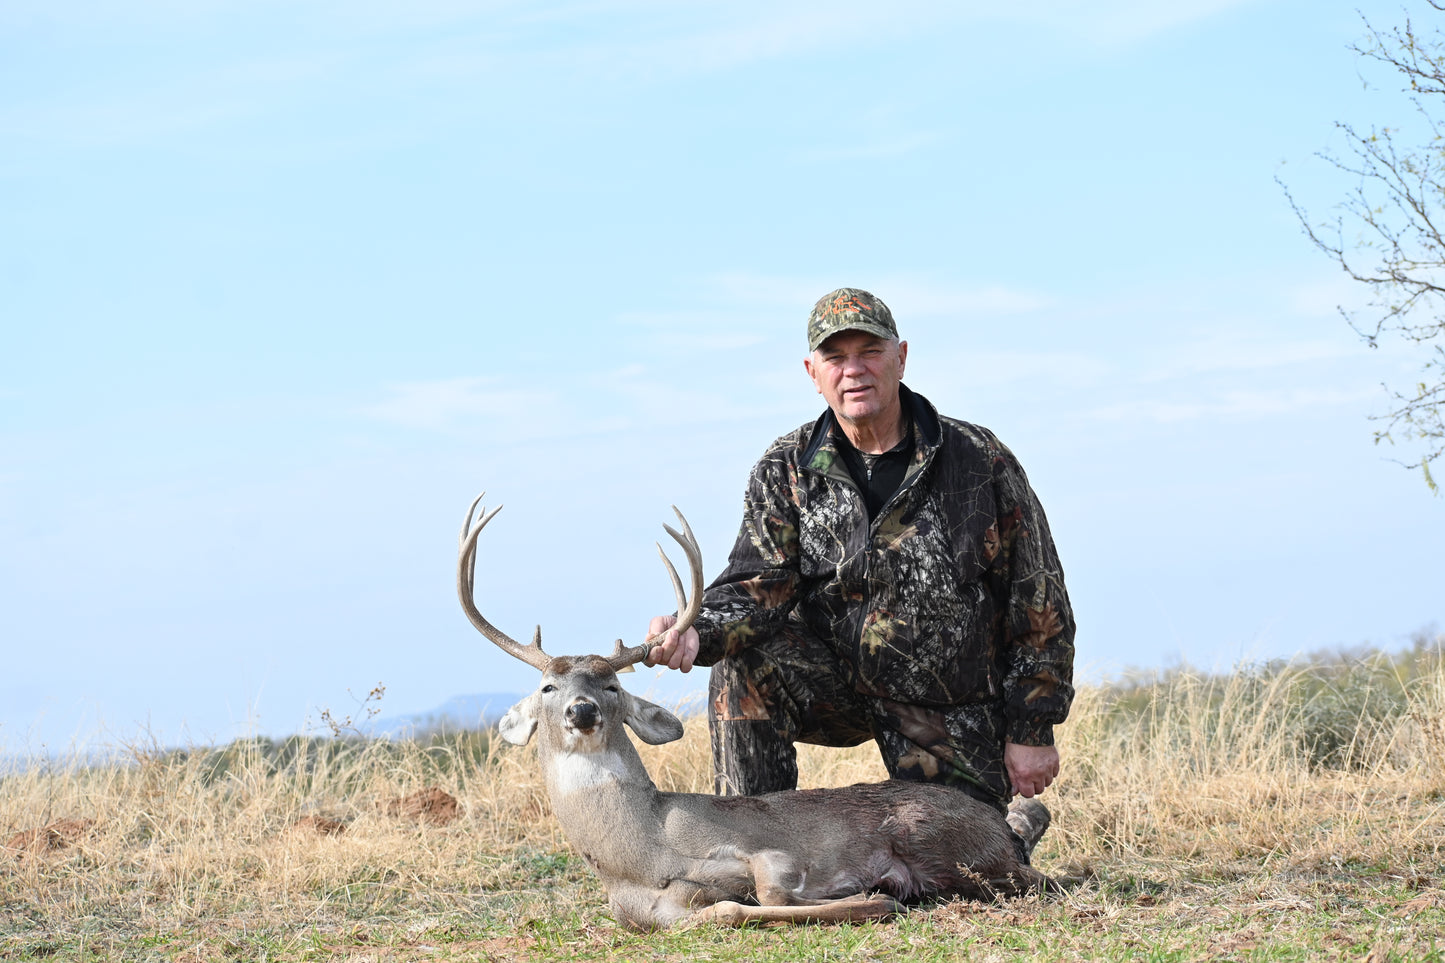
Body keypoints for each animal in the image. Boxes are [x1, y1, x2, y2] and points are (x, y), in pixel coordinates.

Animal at [457, 493, 1054, 930]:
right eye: (548, 687)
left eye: (611, 685)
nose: (581, 710)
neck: (641, 855)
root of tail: (993, 822)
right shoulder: (649, 914)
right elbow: (723, 912)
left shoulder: (762, 851)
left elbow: (765, 892)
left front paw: (867, 897)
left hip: (933, 835)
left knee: (1033, 875)